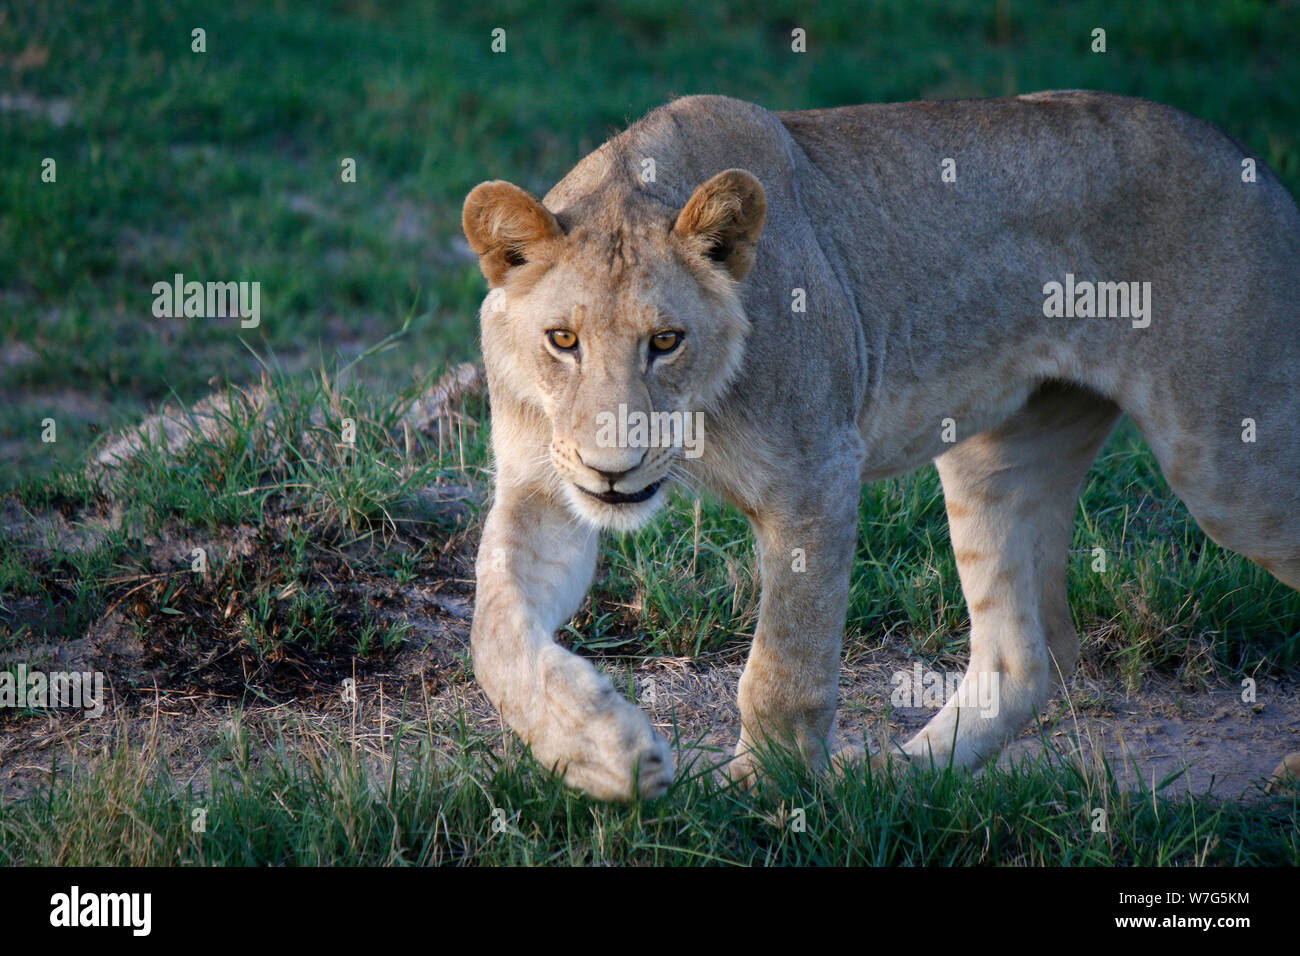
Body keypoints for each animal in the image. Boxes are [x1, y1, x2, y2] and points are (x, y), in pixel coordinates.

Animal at [457, 95, 1300, 801]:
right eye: (562, 340)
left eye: (667, 341)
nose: (614, 468)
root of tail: (1257, 170)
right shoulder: (542, 489)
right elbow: (494, 632)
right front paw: (601, 753)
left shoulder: (818, 475)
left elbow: (784, 663)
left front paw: (765, 794)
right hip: (991, 457)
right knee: (1024, 659)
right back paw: (907, 778)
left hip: (1228, 464)